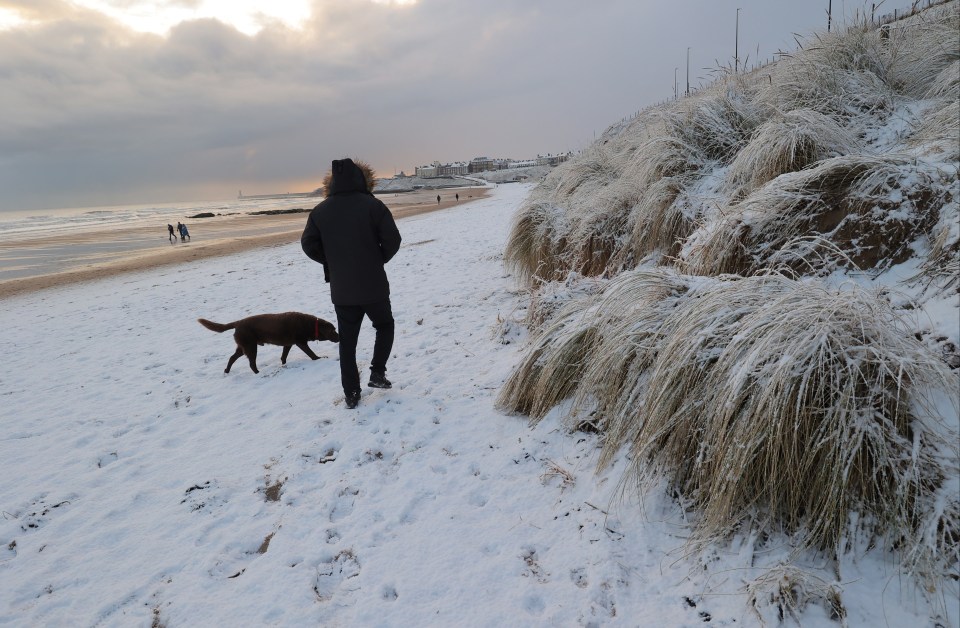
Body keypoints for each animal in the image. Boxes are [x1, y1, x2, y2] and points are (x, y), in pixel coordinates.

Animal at [197, 312, 340, 372]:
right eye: (333, 330)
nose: (340, 337)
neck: (310, 325)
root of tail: (237, 323)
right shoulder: (301, 342)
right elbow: (311, 354)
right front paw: (319, 358)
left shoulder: (288, 344)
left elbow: (283, 356)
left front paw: (284, 364)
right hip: (251, 347)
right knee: (251, 363)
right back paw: (257, 373)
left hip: (243, 347)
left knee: (232, 358)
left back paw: (227, 371)